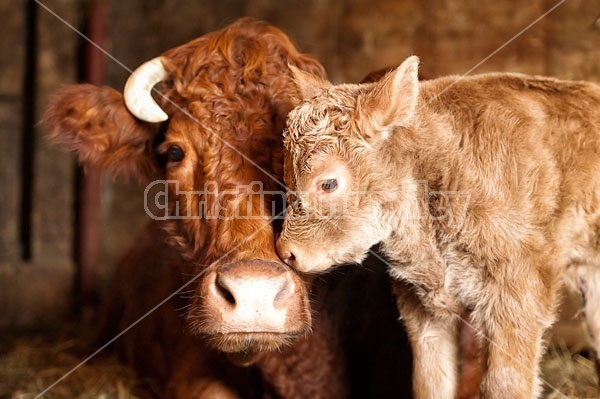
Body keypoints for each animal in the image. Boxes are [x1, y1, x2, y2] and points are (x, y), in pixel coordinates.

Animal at [276, 54, 600, 399]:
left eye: (329, 183)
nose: (286, 252)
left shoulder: (519, 295)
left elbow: (505, 383)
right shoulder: (421, 305)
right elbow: (430, 381)